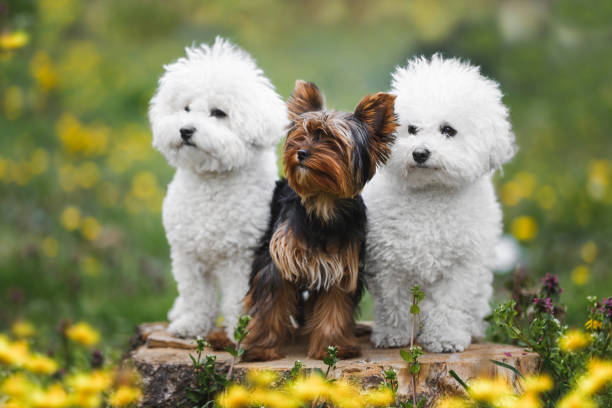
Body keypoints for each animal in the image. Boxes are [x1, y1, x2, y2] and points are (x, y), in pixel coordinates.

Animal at [151, 37, 290, 338]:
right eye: (186, 108)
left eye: (219, 113)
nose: (185, 130)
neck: (210, 182)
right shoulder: (187, 257)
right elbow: (196, 295)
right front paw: (191, 324)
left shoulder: (241, 257)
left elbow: (237, 297)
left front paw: (240, 330)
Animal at [364, 55, 516, 352]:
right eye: (411, 129)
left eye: (448, 130)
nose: (420, 153)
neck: (430, 195)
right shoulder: (388, 262)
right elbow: (393, 303)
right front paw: (393, 335)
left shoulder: (461, 268)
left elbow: (449, 305)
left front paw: (445, 339)